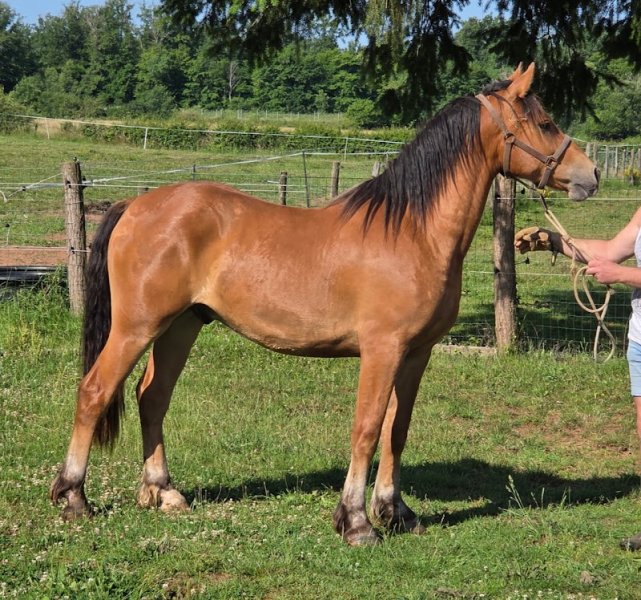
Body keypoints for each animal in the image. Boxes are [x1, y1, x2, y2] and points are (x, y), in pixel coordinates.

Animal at [50, 63, 599, 545]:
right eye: (545, 122)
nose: (590, 174)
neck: (413, 233)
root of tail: (134, 206)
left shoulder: (415, 354)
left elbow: (397, 430)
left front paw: (396, 512)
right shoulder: (382, 351)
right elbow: (366, 428)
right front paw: (356, 522)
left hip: (181, 327)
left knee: (152, 397)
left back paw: (163, 492)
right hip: (137, 327)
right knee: (95, 391)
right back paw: (74, 498)